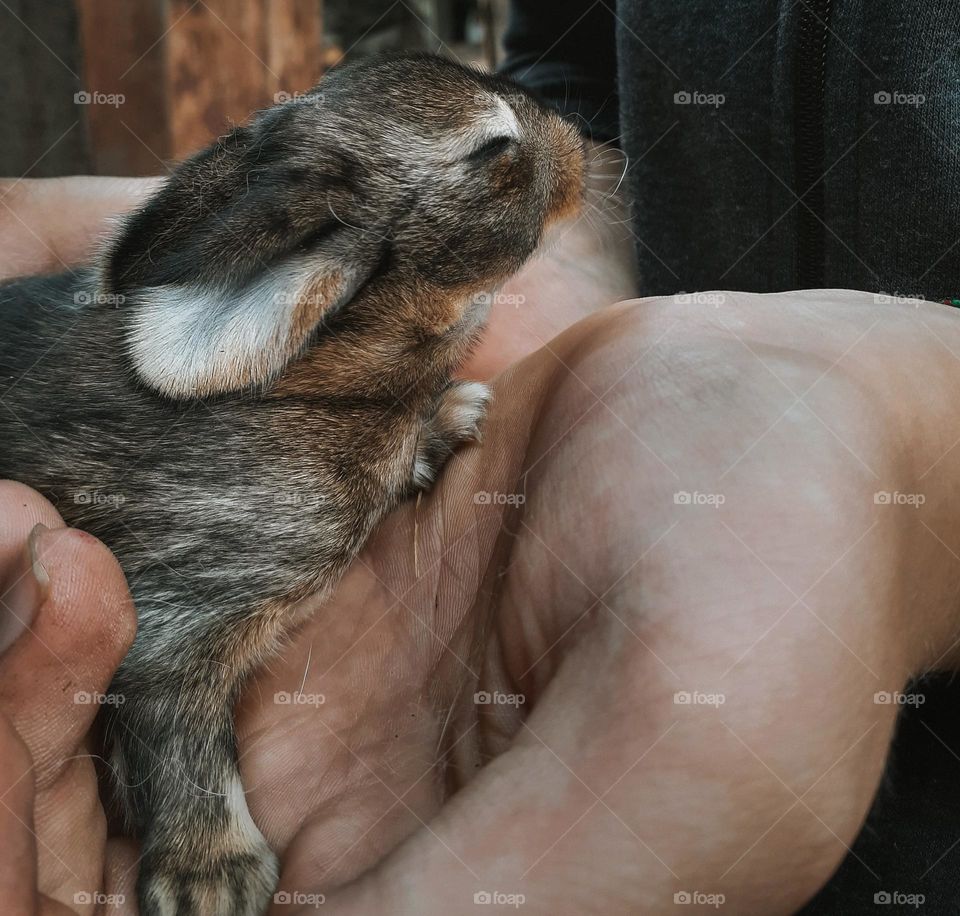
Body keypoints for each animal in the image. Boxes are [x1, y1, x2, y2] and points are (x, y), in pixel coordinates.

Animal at [0, 52, 584, 916]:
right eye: (492, 148)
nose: (578, 143)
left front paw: (450, 418)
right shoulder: (185, 605)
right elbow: (179, 736)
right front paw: (213, 881)